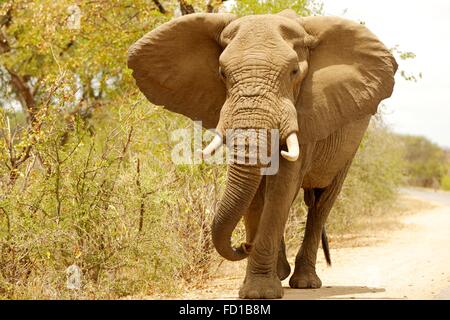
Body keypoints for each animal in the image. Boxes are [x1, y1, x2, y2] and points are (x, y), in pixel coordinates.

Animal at [127, 10, 398, 300]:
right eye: (222, 73)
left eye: (294, 72)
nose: (242, 245)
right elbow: (255, 193)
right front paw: (259, 284)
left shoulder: (304, 111)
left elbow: (281, 187)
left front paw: (260, 292)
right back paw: (282, 272)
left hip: (351, 140)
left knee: (322, 201)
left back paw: (305, 282)